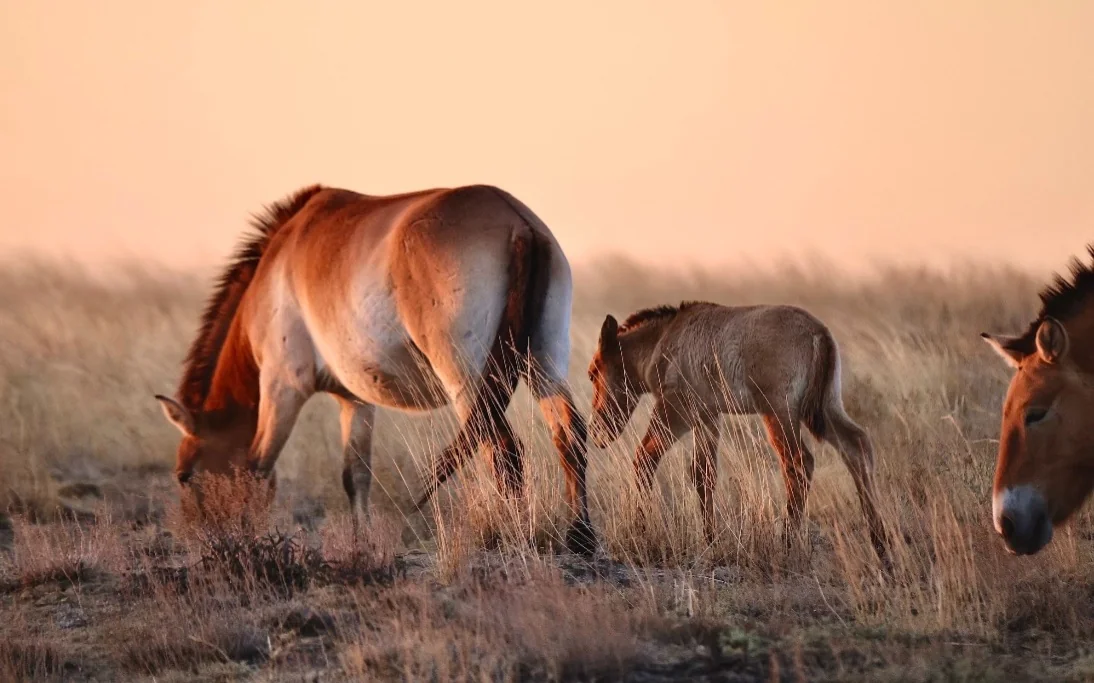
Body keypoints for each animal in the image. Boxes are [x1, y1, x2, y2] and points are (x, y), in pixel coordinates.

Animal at [154, 183, 595, 554]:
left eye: (184, 475)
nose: (198, 537)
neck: (276, 266)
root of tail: (517, 222)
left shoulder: (283, 386)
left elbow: (258, 466)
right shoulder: (356, 401)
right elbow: (355, 474)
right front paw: (362, 542)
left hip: (467, 380)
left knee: (501, 450)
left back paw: (516, 535)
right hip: (544, 362)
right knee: (568, 435)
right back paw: (581, 538)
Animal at [586, 301, 887, 562]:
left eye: (592, 372)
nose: (595, 431)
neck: (664, 339)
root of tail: (820, 333)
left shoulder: (675, 410)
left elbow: (644, 458)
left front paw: (641, 529)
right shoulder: (707, 417)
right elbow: (703, 474)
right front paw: (710, 540)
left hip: (778, 413)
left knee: (799, 462)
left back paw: (787, 543)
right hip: (826, 409)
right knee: (857, 447)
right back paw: (880, 545)